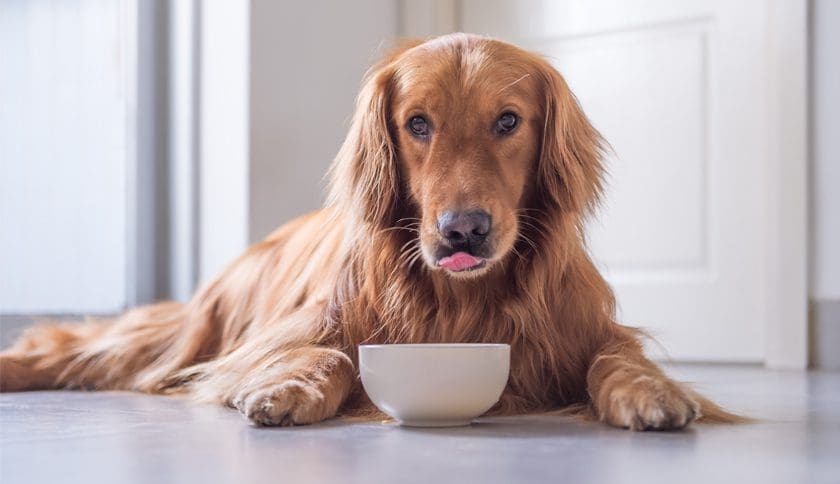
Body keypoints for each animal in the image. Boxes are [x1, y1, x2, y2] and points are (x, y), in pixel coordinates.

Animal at [0, 32, 736, 430]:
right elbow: (327, 355)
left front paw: (652, 393)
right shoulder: (282, 338)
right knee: (78, 348)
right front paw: (289, 391)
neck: (463, 302)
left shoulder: (588, 330)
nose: (463, 231)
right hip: (188, 333)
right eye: (417, 123)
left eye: (508, 120)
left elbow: (617, 359)